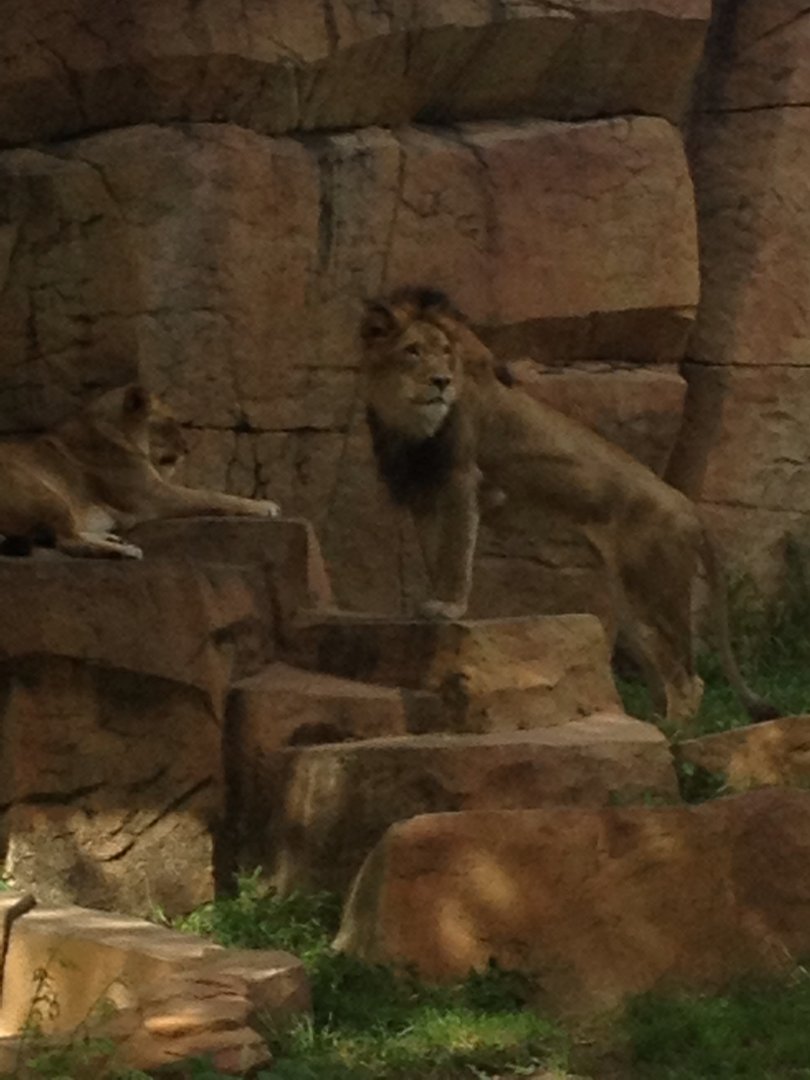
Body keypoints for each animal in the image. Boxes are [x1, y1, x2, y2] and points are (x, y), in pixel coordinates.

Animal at [0, 383, 280, 560]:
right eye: (169, 422)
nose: (187, 448)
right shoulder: (153, 495)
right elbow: (213, 496)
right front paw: (264, 506)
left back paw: (114, 539)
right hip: (43, 491)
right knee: (66, 541)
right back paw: (124, 551)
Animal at [360, 286, 776, 727]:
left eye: (444, 353)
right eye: (412, 351)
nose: (441, 381)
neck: (404, 419)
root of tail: (687, 504)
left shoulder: (460, 480)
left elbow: (455, 554)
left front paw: (448, 606)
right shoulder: (421, 493)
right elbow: (434, 553)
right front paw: (430, 604)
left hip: (655, 591)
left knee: (687, 678)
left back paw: (673, 732)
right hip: (629, 602)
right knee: (664, 669)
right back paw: (653, 720)